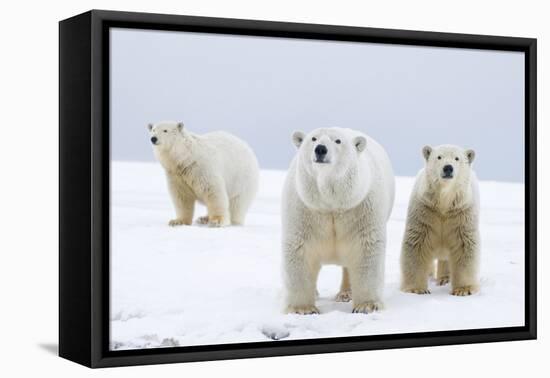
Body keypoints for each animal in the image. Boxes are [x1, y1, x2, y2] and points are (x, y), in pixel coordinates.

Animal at [282, 127, 394, 314]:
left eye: (338, 141)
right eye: (313, 138)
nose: (320, 149)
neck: (331, 205)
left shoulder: (360, 207)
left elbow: (365, 248)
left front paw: (367, 305)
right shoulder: (305, 208)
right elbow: (300, 248)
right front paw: (304, 309)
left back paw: (345, 294)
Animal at [402, 145, 484, 296]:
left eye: (457, 158)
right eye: (439, 157)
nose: (448, 168)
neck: (444, 204)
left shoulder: (461, 213)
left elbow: (463, 246)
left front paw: (463, 290)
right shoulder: (425, 211)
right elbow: (417, 245)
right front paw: (417, 289)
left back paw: (444, 279)